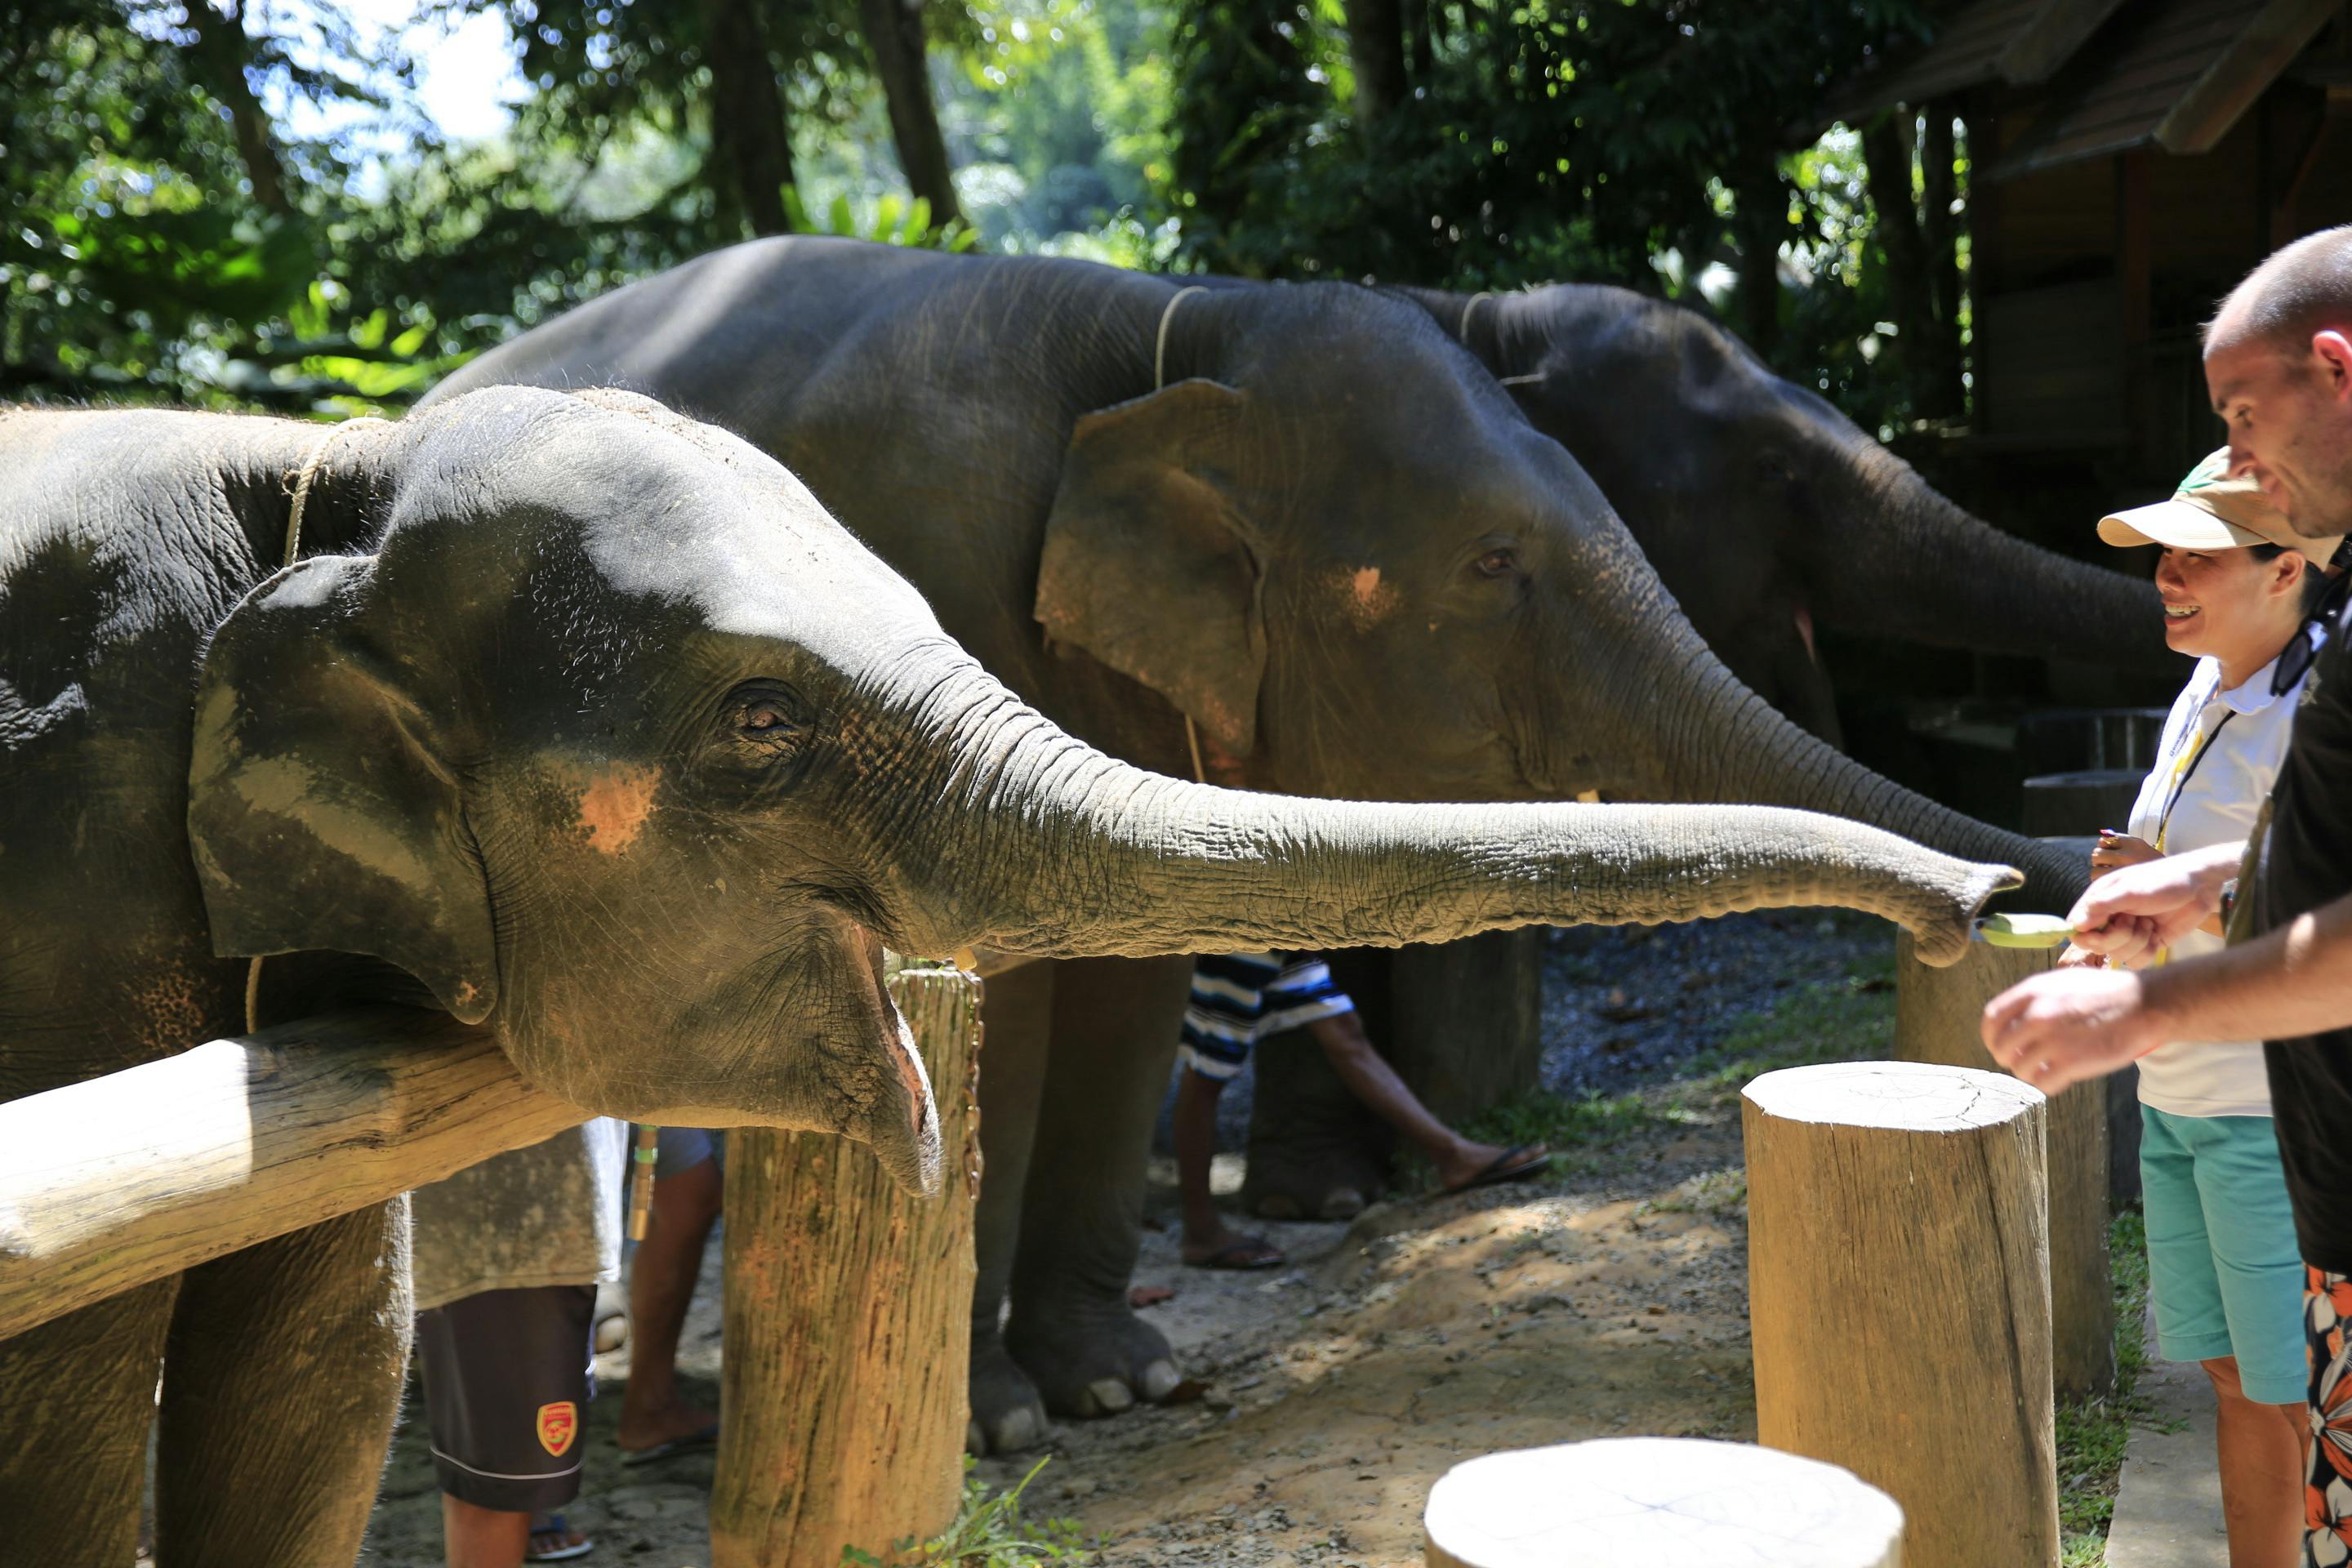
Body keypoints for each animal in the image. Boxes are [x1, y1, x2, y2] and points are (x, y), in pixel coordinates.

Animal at [0, 387, 2020, 1565]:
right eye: (760, 723)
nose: (1985, 898)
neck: (319, 481)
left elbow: (320, 1329)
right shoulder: (67, 874)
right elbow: (89, 1362)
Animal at [426, 236, 2092, 1454]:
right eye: (1494, 564)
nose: (2000, 896)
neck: (1168, 326)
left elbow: (1126, 984)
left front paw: (1124, 1385)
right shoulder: (912, 598)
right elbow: (999, 997)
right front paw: (1006, 1430)